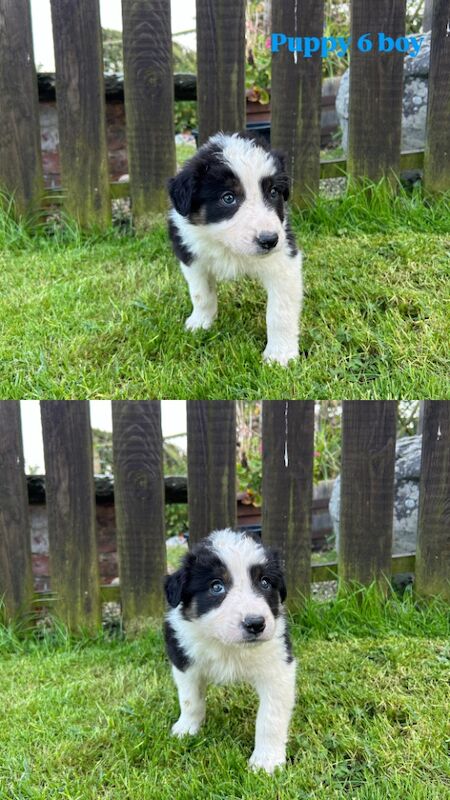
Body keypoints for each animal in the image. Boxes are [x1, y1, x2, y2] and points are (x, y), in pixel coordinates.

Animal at [163, 528, 298, 772]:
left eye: (265, 582)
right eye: (216, 586)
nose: (256, 624)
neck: (227, 645)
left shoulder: (278, 666)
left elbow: (270, 717)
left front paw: (266, 761)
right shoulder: (184, 660)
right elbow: (190, 700)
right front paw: (186, 729)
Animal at [168, 133, 302, 368]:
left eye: (273, 192)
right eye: (228, 198)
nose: (269, 240)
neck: (229, 247)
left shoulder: (284, 261)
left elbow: (280, 312)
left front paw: (280, 355)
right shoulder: (191, 255)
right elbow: (201, 294)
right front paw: (200, 323)